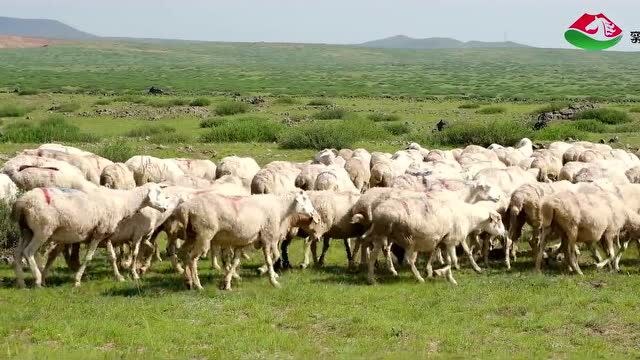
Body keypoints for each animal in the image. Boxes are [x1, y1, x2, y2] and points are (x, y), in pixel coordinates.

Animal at [11, 184, 170, 288]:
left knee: (18, 253)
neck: (121, 202)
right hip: (42, 230)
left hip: (26, 230)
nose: (165, 208)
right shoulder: (98, 233)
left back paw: (21, 282)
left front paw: (119, 277)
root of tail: (21, 202)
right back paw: (38, 280)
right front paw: (77, 280)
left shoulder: (106, 234)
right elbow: (88, 257)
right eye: (158, 193)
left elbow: (112, 257)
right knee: (28, 252)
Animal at [174, 191, 318, 290]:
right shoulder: (267, 237)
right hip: (204, 234)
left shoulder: (242, 242)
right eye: (305, 199)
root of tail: (186, 208)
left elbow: (235, 262)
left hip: (192, 234)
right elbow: (271, 259)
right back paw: (198, 285)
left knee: (182, 253)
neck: (281, 209)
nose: (315, 214)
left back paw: (187, 281)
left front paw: (227, 283)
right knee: (192, 258)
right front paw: (272, 280)